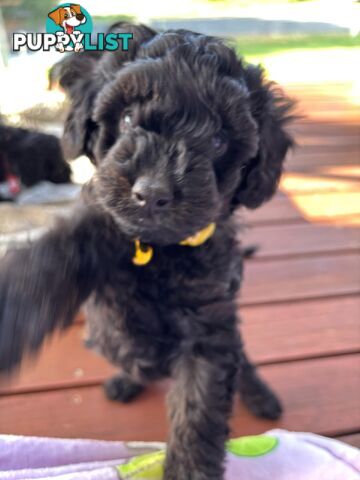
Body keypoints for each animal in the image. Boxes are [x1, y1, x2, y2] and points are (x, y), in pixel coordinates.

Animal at [0, 23, 292, 480]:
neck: (159, 250)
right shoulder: (100, 221)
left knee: (243, 360)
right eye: (126, 119)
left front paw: (190, 469)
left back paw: (259, 394)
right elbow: (55, 256)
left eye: (218, 139)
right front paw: (10, 317)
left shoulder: (209, 329)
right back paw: (127, 379)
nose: (152, 193)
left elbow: (199, 411)